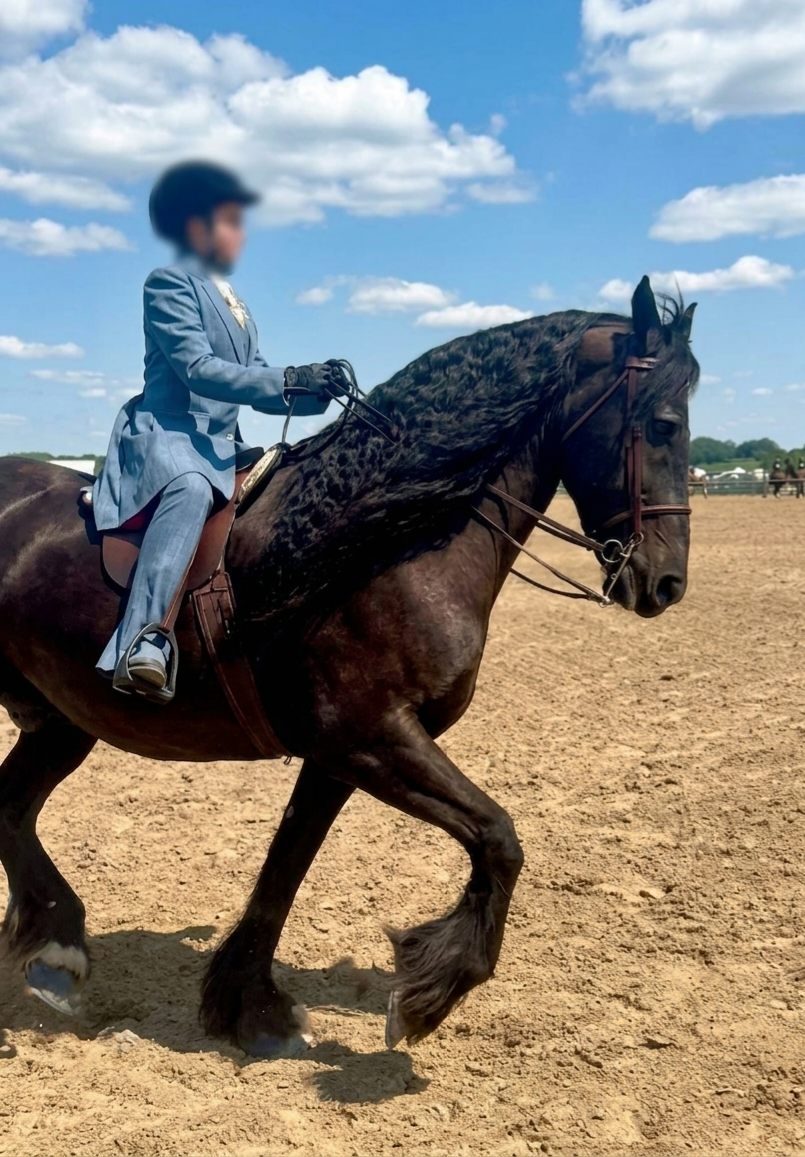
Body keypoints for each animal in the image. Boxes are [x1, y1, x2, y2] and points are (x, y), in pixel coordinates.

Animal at [0, 276, 698, 1058]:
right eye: (664, 423)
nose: (667, 583)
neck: (376, 542)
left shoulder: (341, 753)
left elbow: (286, 866)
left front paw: (251, 1007)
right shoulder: (371, 737)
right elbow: (499, 838)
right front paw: (428, 997)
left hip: (59, 721)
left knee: (9, 808)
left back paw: (53, 951)